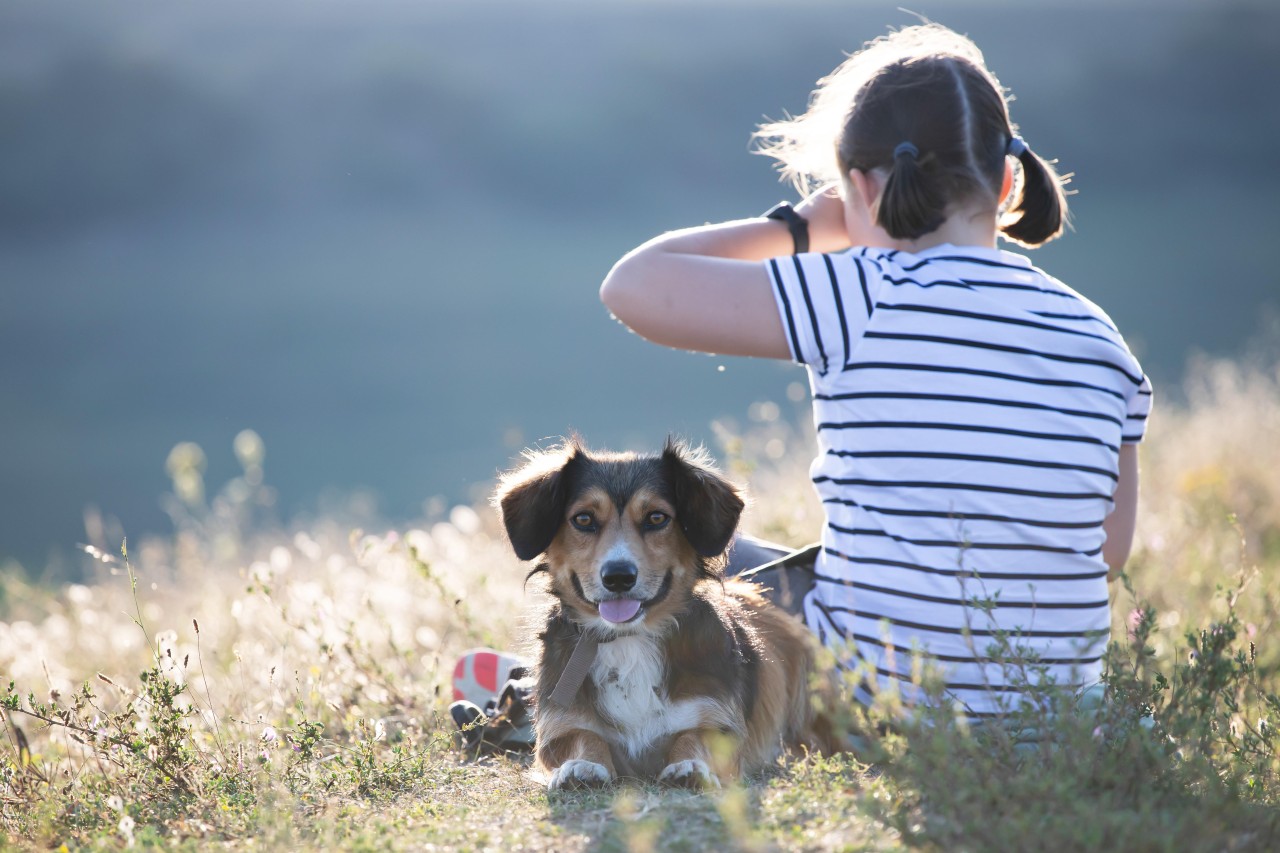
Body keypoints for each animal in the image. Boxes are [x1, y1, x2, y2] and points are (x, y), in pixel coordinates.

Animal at [494, 435, 824, 788]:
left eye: (656, 518)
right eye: (583, 519)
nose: (618, 577)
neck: (629, 639)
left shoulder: (716, 719)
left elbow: (691, 738)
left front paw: (690, 766)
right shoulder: (562, 723)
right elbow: (585, 738)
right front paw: (583, 765)